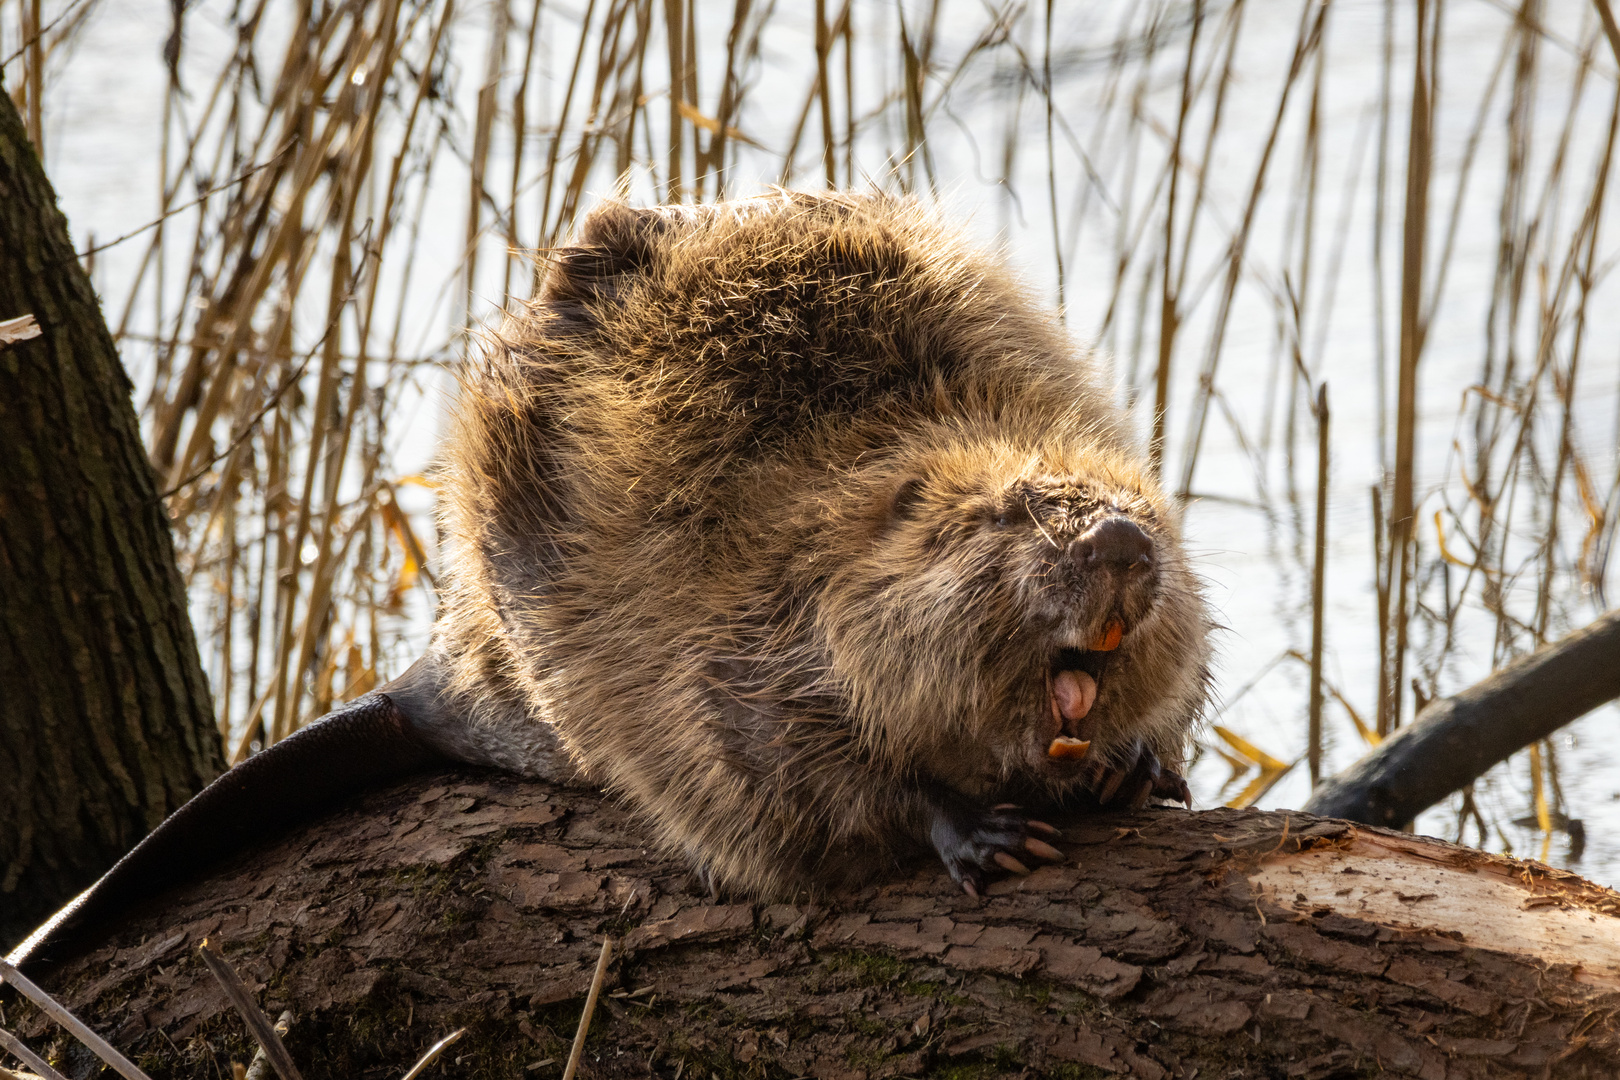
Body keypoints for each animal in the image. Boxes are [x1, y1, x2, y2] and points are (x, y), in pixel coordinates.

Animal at [9, 187, 1205, 965]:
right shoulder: (720, 650)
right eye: (1011, 512)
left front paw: (1138, 765)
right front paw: (981, 831)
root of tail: (433, 675)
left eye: (1144, 511)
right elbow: (798, 780)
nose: (1122, 546)